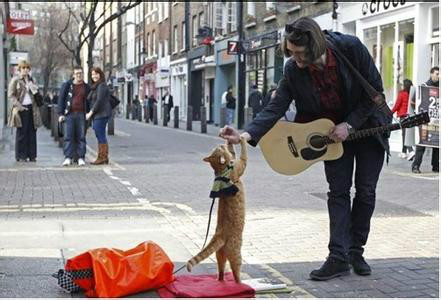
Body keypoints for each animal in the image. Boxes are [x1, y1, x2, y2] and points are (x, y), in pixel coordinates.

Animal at [186, 137, 248, 284]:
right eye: (219, 148)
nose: (221, 143)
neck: (222, 171)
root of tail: (220, 234)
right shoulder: (241, 165)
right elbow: (243, 154)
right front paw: (242, 138)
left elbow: (233, 152)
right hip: (236, 254)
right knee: (236, 272)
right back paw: (240, 283)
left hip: (219, 255)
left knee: (220, 271)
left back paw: (221, 280)